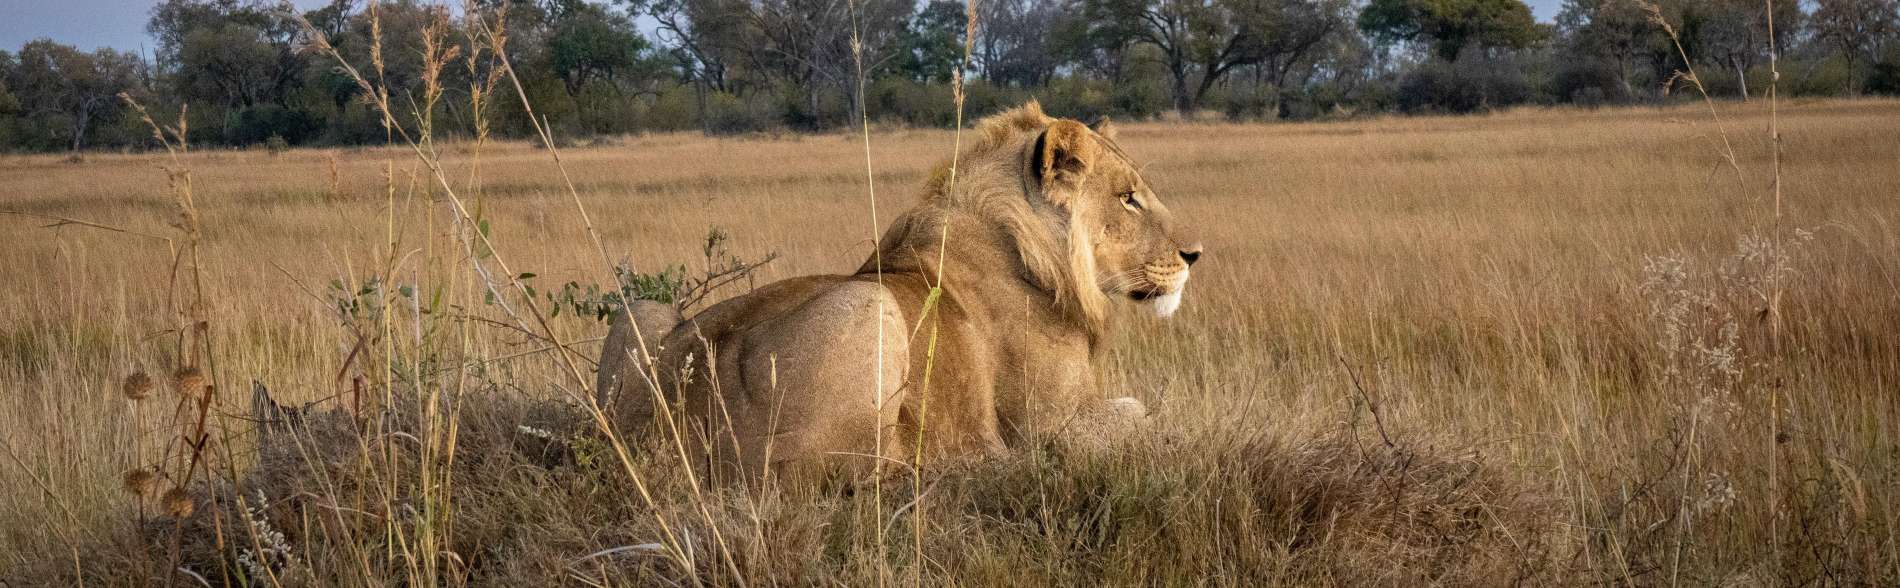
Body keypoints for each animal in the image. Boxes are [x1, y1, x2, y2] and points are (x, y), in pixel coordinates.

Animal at [600, 100, 1200, 483]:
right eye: (1127, 198)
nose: (1194, 255)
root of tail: (662, 434)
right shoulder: (1055, 425)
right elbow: (1146, 416)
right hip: (871, 306)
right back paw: (968, 460)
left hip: (641, 312)